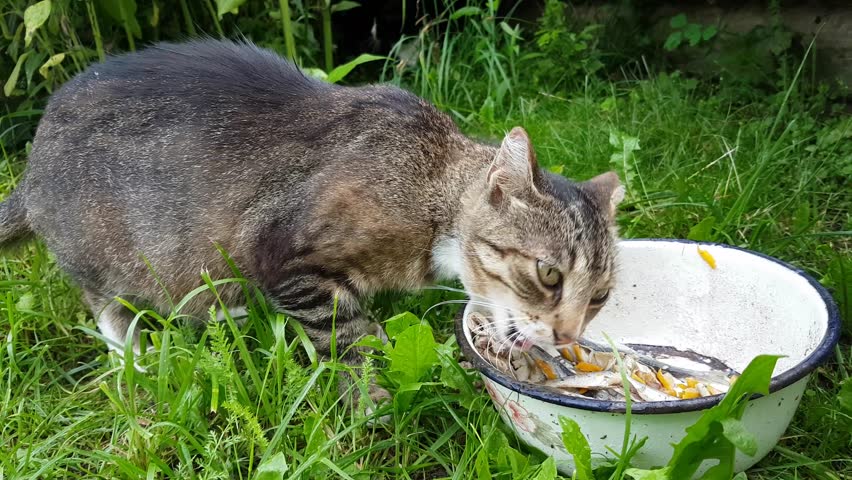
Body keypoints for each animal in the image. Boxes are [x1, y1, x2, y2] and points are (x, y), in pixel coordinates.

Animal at [0, 37, 624, 404]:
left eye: (600, 296)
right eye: (548, 275)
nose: (569, 337)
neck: (430, 190)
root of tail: (29, 170)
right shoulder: (284, 256)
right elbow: (349, 334)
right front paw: (375, 396)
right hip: (110, 256)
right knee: (108, 308)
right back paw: (138, 359)